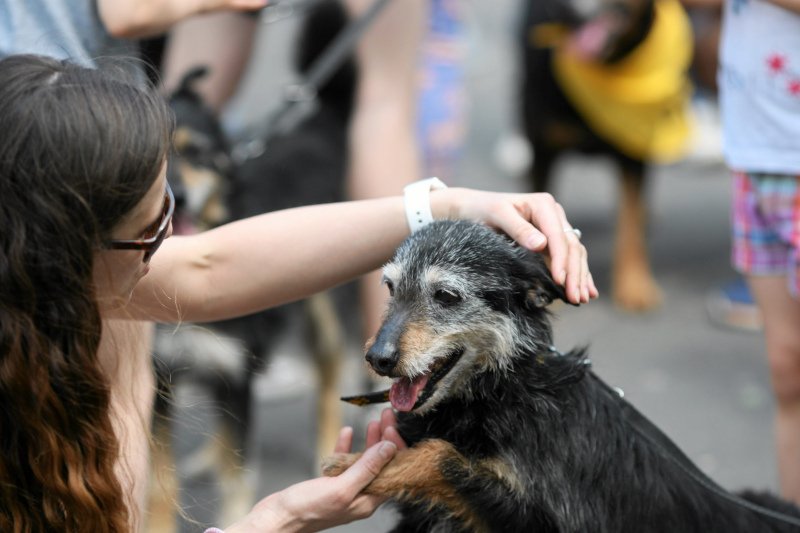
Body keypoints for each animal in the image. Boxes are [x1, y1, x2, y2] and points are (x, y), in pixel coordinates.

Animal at [324, 218, 800, 528]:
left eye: (446, 295)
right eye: (390, 288)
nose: (378, 359)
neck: (504, 389)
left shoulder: (544, 521)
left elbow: (437, 455)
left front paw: (355, 464)